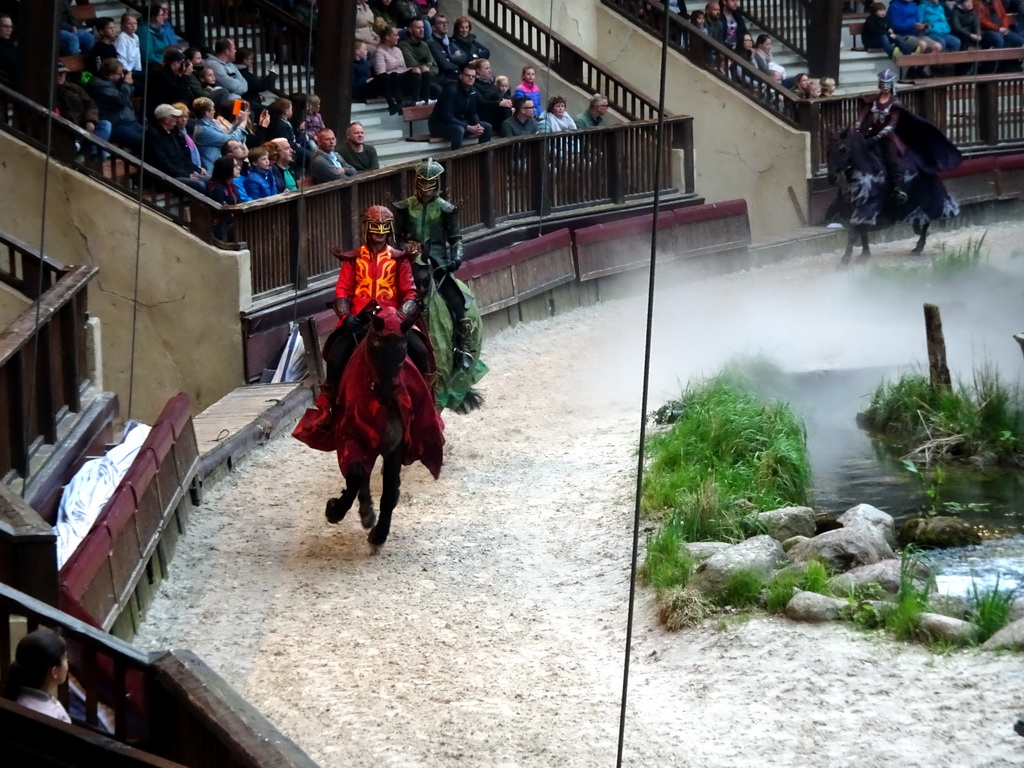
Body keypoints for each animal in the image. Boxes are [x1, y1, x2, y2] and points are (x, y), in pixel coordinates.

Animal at [823, 128, 958, 266]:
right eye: (827, 150)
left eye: (842, 149)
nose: (832, 178)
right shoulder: (854, 209)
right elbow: (861, 231)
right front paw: (864, 254)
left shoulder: (868, 207)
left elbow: (854, 232)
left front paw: (844, 260)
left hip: (927, 201)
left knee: (926, 220)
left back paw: (919, 246)